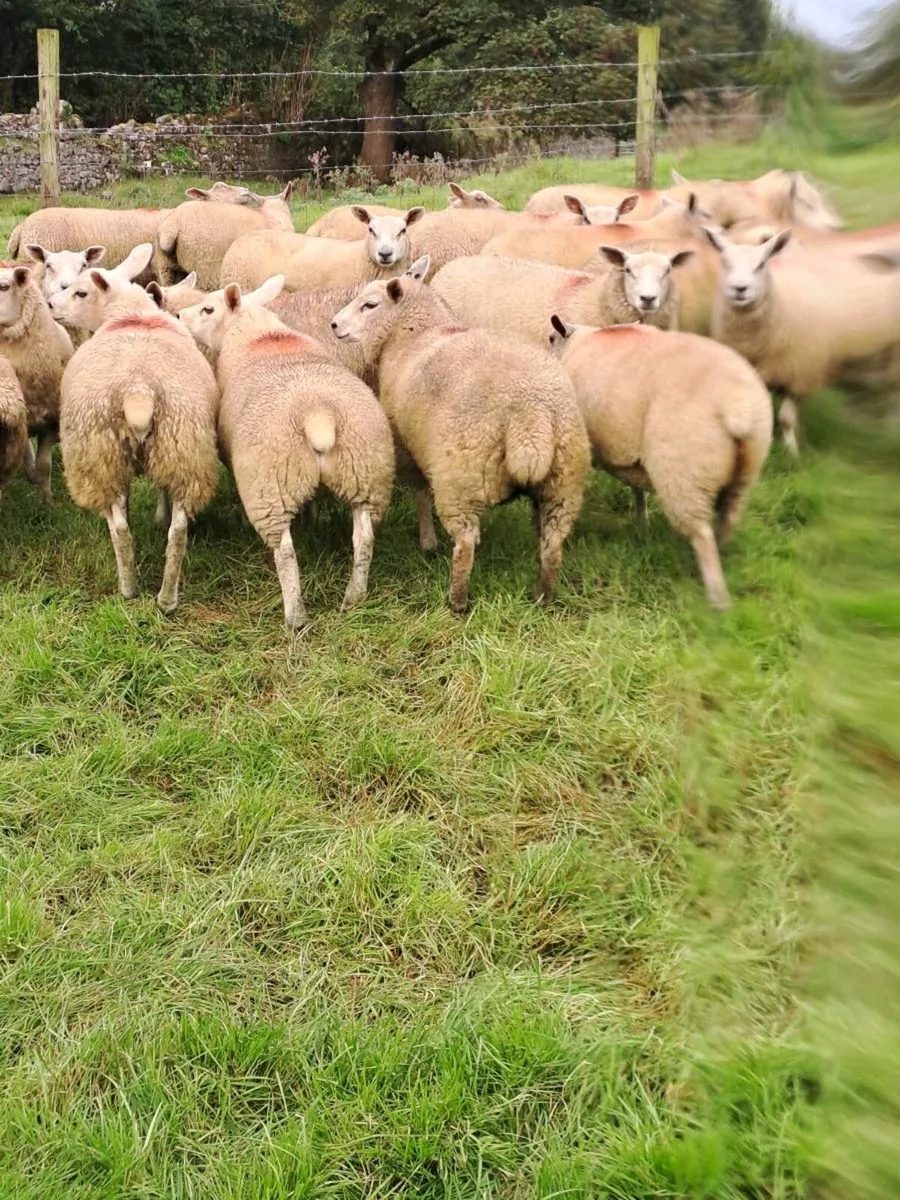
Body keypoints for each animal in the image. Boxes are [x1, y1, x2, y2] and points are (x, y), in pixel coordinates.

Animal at [50, 244, 219, 613]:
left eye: (81, 291)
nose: (51, 305)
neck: (131, 311)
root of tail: (138, 390)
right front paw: (159, 516)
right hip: (184, 449)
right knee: (178, 532)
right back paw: (166, 599)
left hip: (98, 457)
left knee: (120, 529)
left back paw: (129, 588)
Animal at [179, 275, 395, 628]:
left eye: (207, 309)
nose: (178, 316)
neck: (259, 335)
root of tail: (318, 414)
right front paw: (311, 518)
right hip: (365, 473)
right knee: (363, 540)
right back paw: (354, 597)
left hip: (270, 487)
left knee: (285, 553)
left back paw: (295, 616)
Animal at [330, 264, 590, 611]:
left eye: (370, 305)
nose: (333, 324)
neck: (416, 334)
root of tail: (529, 417)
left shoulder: (409, 446)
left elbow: (421, 494)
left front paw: (427, 541)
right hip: (563, 483)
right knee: (553, 544)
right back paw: (543, 596)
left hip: (460, 477)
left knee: (465, 545)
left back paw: (457, 601)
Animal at [548, 318, 773, 610]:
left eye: (550, 339)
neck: (576, 344)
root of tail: (739, 408)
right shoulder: (631, 458)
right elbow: (637, 491)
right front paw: (641, 523)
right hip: (745, 472)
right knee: (729, 518)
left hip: (683, 472)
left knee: (701, 534)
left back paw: (716, 597)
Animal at [706, 227, 900, 455]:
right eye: (725, 262)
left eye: (761, 264)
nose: (740, 289)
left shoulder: (798, 371)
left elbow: (786, 419)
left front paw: (791, 453)